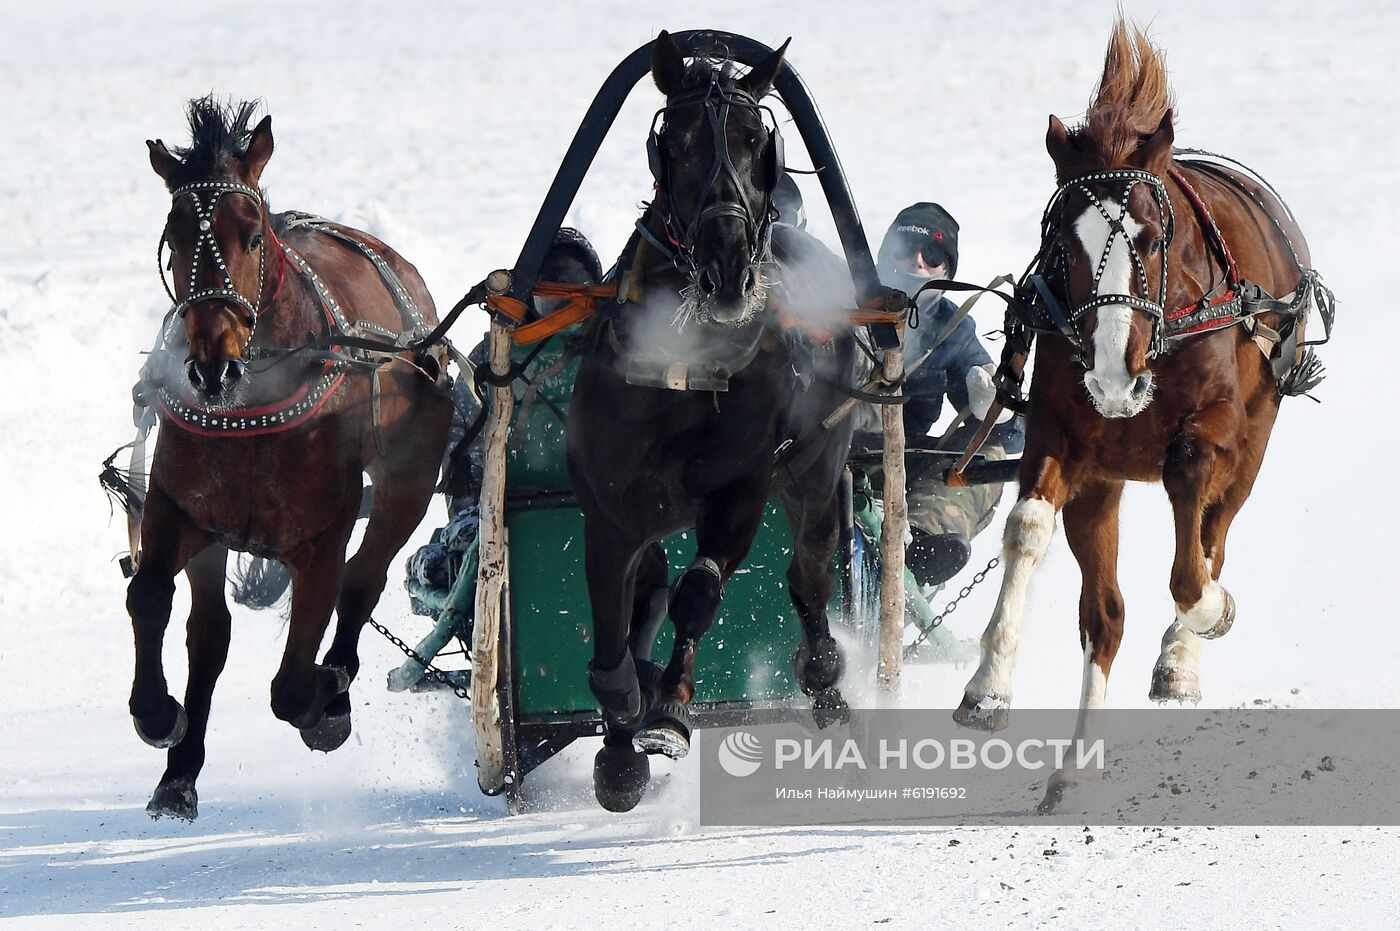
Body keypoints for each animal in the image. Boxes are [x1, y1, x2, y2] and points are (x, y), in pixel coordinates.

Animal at [129, 98, 450, 817]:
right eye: (173, 237)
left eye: (251, 237)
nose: (211, 368)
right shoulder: (181, 509)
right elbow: (150, 595)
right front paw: (159, 716)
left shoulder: (321, 532)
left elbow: (297, 672)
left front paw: (325, 701)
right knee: (208, 633)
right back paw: (179, 773)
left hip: (409, 479)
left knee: (364, 576)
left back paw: (336, 681)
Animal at [562, 32, 856, 812]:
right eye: (680, 140)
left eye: (757, 138)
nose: (726, 262)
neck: (683, 369)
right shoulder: (609, 511)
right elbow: (612, 635)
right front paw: (620, 747)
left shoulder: (741, 489)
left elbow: (698, 594)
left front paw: (667, 712)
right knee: (649, 592)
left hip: (816, 470)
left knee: (809, 574)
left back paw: (823, 676)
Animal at [952, 19, 1332, 806]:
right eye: (1062, 244)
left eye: (1152, 239)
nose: (1112, 378)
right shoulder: (1060, 438)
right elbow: (1027, 531)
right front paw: (989, 684)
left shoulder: (1217, 430)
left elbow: (1193, 556)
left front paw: (1205, 621)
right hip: (1101, 484)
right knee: (1105, 615)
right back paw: (1076, 760)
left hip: (1253, 443)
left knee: (1213, 532)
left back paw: (1182, 651)